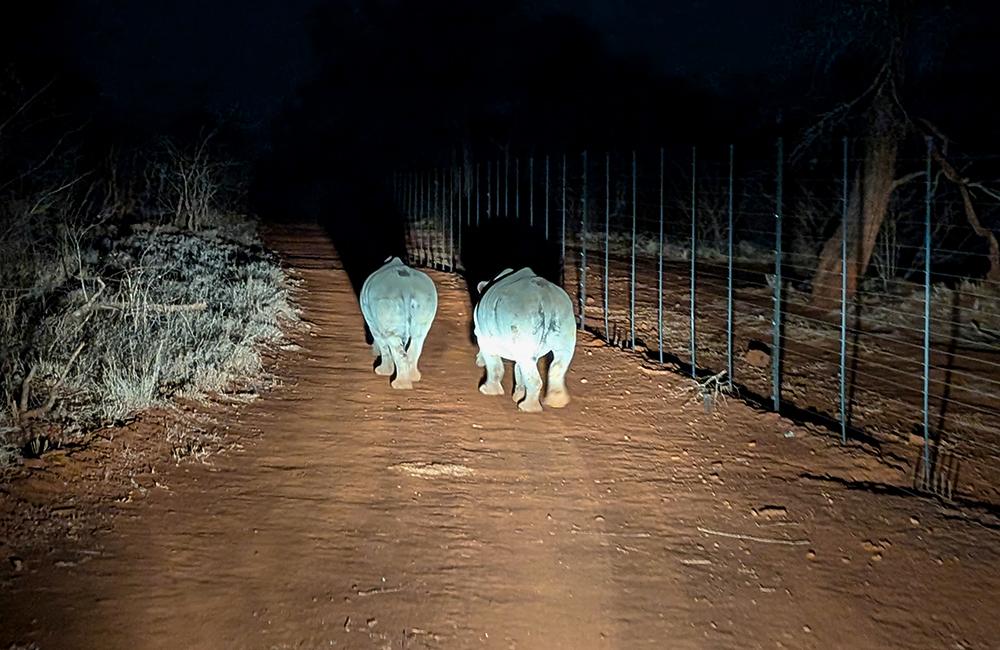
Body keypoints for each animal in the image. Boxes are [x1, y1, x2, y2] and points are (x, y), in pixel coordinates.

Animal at [360, 253, 438, 388]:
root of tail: (406, 288)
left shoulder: (371, 319)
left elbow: (382, 342)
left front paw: (380, 370)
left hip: (386, 301)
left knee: (391, 338)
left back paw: (398, 386)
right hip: (426, 298)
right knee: (419, 336)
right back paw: (413, 378)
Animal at [476, 268, 580, 410]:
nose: (478, 362)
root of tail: (546, 298)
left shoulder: (484, 335)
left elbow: (494, 364)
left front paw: (487, 391)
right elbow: (519, 368)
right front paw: (517, 396)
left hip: (522, 315)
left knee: (526, 359)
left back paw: (526, 408)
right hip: (564, 313)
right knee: (560, 356)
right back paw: (557, 402)